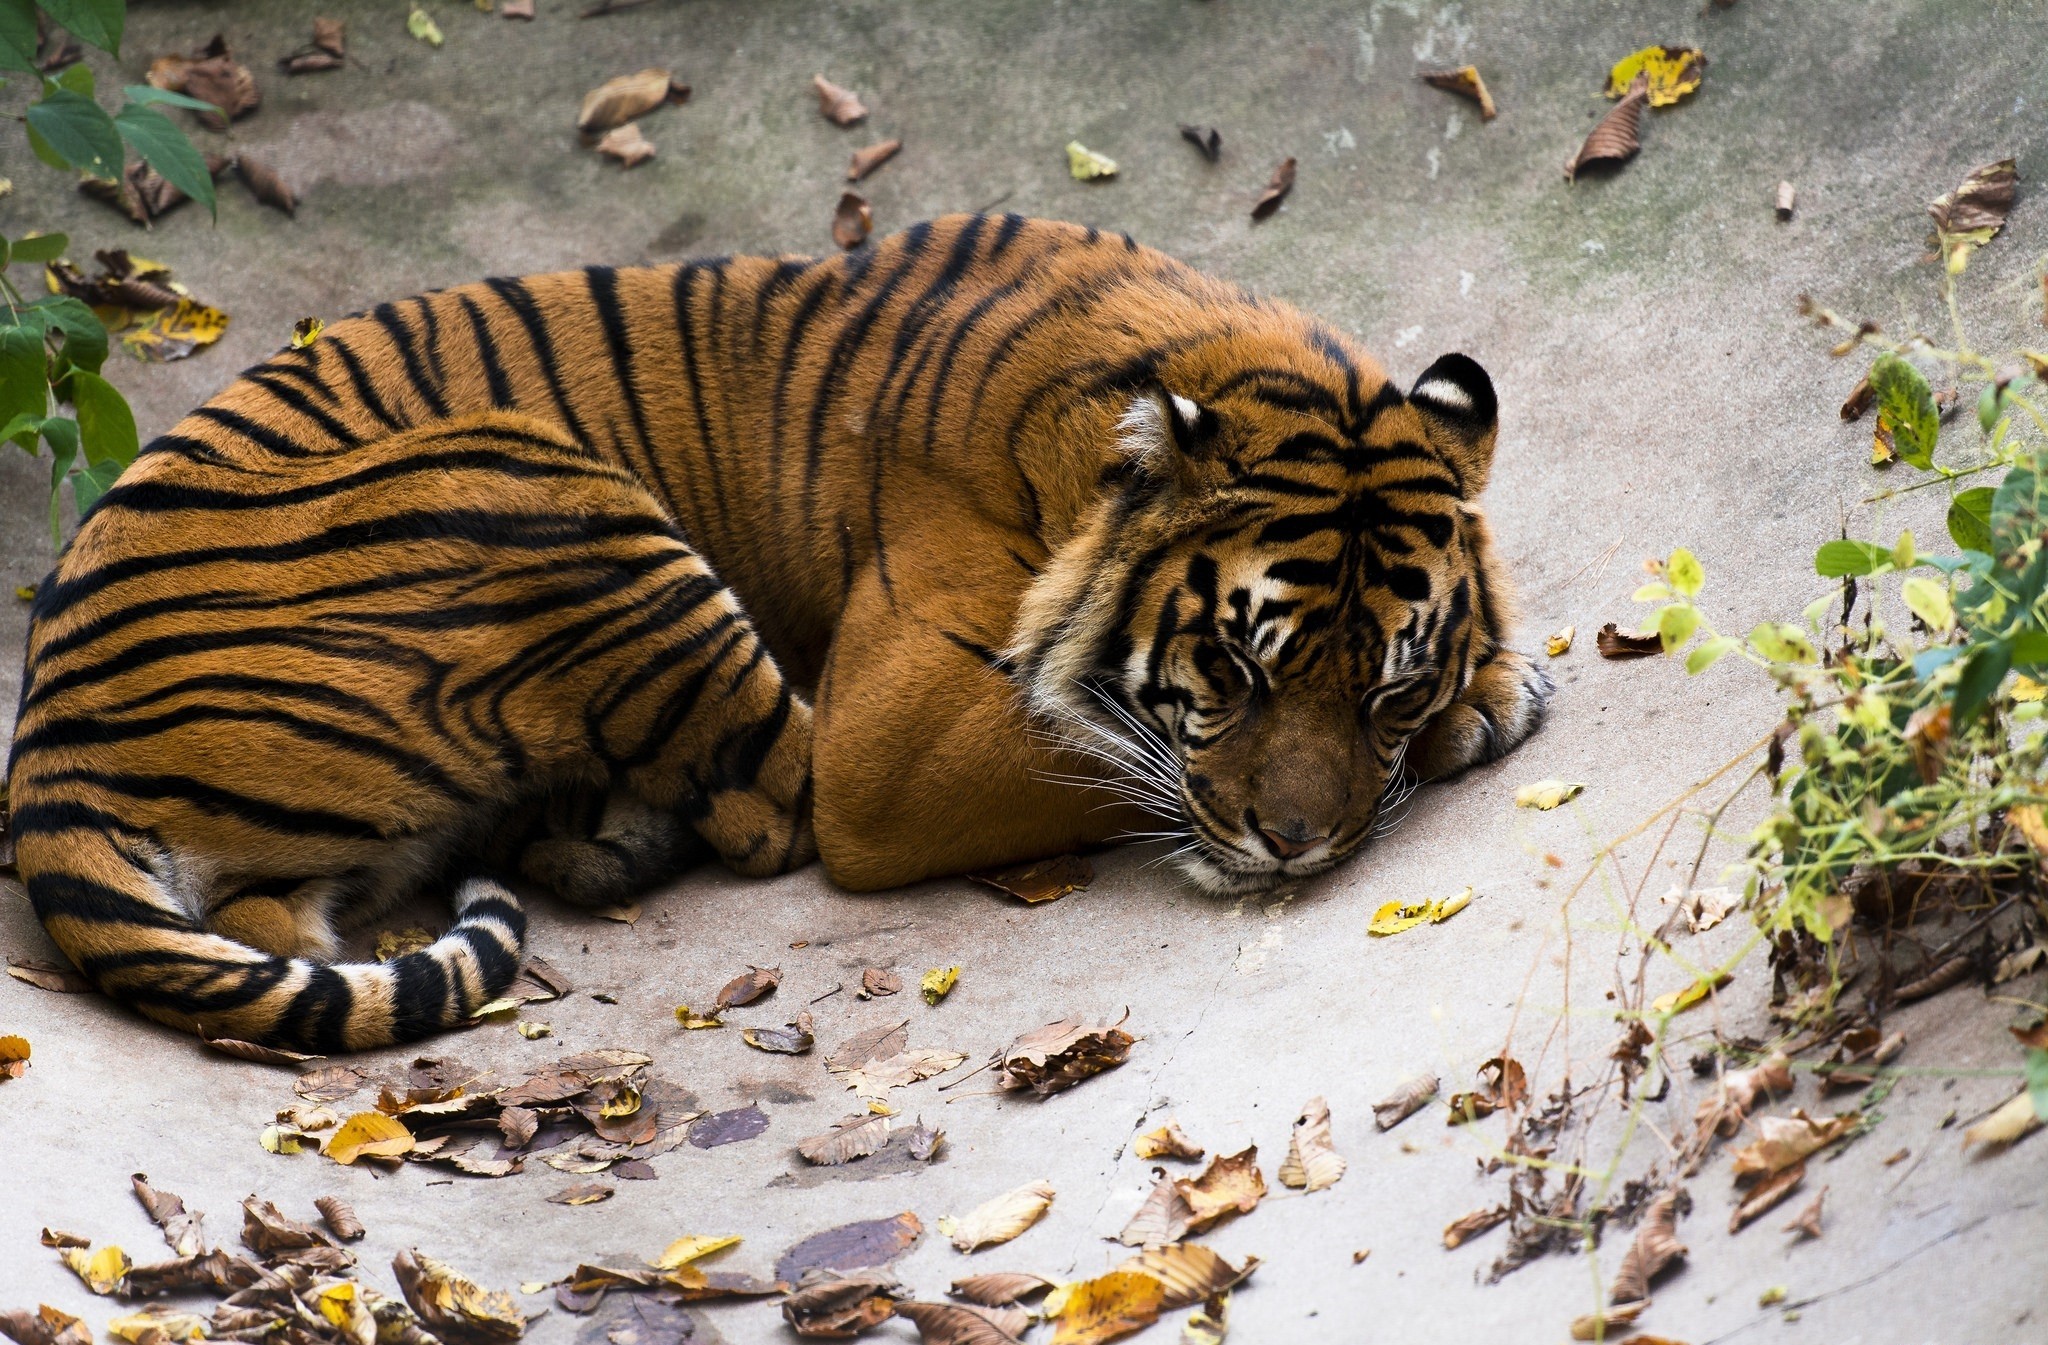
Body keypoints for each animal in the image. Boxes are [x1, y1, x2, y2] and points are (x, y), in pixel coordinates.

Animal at [4, 214, 1548, 1048]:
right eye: (1231, 668)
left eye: (1384, 693)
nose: (1298, 848)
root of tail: (48, 754)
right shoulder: (897, 739)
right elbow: (1092, 738)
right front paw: (1496, 701)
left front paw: (1479, 683)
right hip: (547, 483)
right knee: (764, 811)